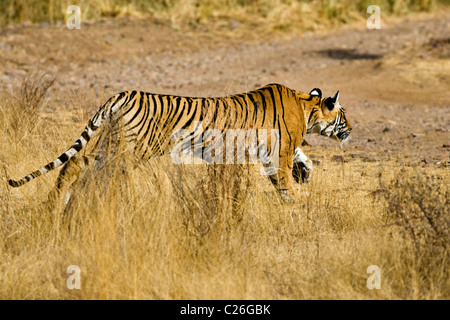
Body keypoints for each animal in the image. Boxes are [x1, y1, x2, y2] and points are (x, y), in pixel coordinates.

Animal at [7, 83, 352, 202]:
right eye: (344, 115)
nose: (351, 129)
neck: (307, 105)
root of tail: (122, 94)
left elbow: (301, 155)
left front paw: (304, 173)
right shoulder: (277, 151)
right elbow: (283, 179)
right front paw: (297, 201)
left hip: (112, 144)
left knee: (75, 164)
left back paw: (57, 205)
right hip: (131, 150)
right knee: (88, 173)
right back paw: (75, 204)